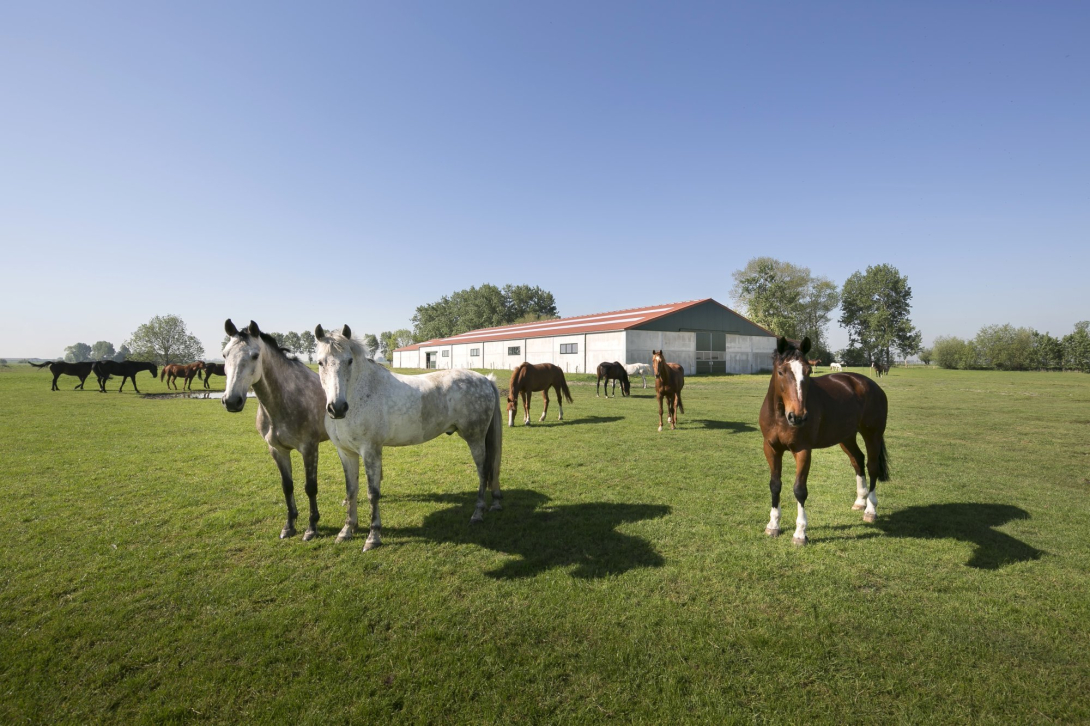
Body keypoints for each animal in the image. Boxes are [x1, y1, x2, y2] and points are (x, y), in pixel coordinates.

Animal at [763, 335, 889, 542]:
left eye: (807, 371)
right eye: (781, 372)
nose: (798, 416)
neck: (780, 417)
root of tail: (869, 384)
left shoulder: (803, 451)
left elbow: (799, 490)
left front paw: (800, 533)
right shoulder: (771, 449)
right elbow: (775, 485)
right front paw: (773, 525)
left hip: (873, 435)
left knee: (872, 467)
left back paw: (870, 510)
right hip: (846, 437)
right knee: (858, 460)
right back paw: (860, 501)